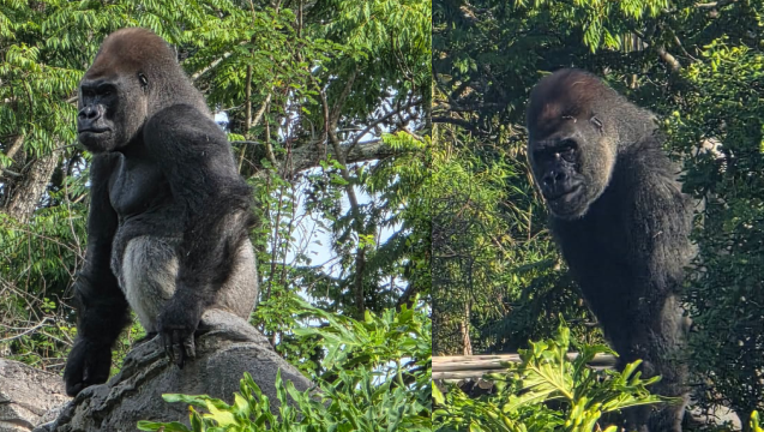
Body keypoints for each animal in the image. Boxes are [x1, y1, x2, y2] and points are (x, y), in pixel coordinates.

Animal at [63, 28, 259, 397]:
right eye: (88, 93)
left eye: (106, 92)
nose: (87, 114)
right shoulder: (104, 158)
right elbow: (101, 246)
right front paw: (90, 349)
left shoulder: (176, 124)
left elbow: (219, 200)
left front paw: (184, 308)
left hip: (234, 303)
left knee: (145, 244)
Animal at [526, 68, 695, 432]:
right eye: (544, 154)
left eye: (567, 148)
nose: (554, 178)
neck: (625, 145)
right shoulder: (568, 219)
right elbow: (620, 315)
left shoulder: (658, 180)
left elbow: (663, 302)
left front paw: (661, 411)